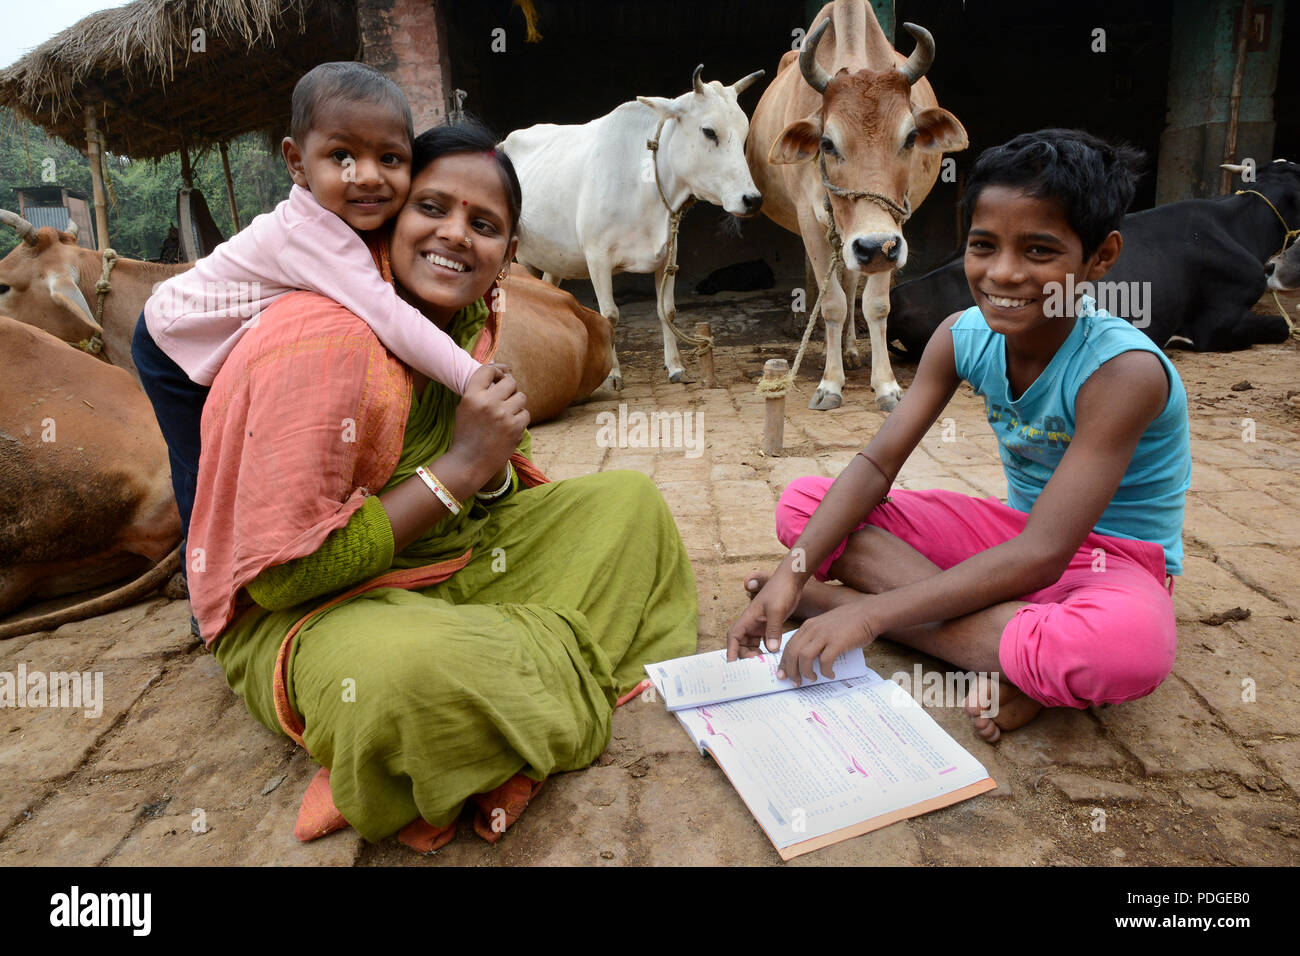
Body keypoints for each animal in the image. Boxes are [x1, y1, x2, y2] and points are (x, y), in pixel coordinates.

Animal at [496, 66, 759, 390]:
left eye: (745, 132)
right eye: (709, 131)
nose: (752, 199)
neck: (643, 182)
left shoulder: (669, 254)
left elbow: (667, 311)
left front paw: (675, 367)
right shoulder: (597, 257)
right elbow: (609, 315)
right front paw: (612, 374)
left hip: (553, 258)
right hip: (521, 258)